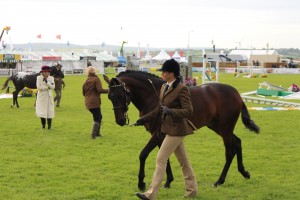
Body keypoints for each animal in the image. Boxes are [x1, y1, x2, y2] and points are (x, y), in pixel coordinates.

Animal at [105, 70, 260, 191]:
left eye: (120, 95)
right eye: (109, 96)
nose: (120, 121)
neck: (153, 97)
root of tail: (236, 93)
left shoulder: (157, 134)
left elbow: (143, 154)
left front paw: (141, 183)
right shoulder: (161, 134)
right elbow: (164, 156)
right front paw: (168, 181)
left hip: (225, 127)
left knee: (229, 152)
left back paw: (219, 181)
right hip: (218, 127)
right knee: (237, 143)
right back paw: (244, 172)